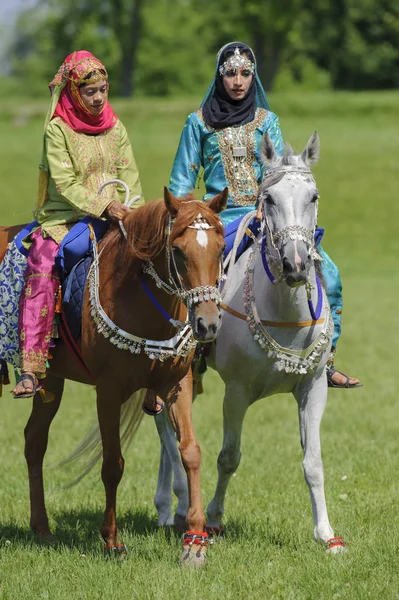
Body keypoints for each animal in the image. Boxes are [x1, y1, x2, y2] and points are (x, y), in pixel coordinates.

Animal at [0, 190, 227, 568]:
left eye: (221, 249)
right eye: (179, 252)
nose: (208, 324)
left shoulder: (177, 385)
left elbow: (191, 452)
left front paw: (194, 543)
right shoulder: (107, 391)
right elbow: (112, 464)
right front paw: (112, 542)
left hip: (52, 381)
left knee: (34, 441)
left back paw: (42, 528)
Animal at [150, 131, 346, 552]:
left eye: (313, 196)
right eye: (269, 199)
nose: (295, 264)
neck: (283, 314)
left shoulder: (314, 387)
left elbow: (314, 463)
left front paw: (327, 535)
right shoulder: (236, 391)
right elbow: (229, 457)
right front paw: (213, 519)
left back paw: (169, 507)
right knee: (165, 429)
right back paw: (175, 505)